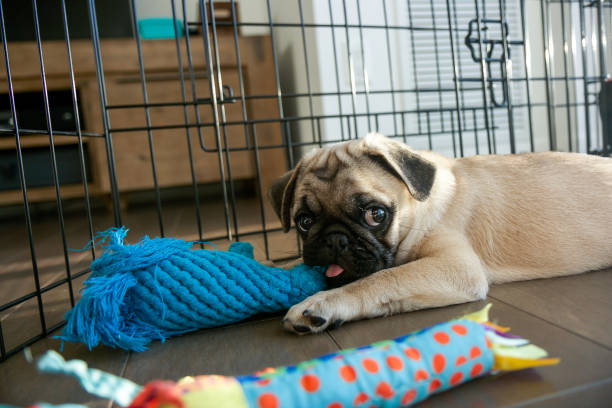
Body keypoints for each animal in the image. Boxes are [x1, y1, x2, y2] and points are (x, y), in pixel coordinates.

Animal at [272, 132, 612, 334]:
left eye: (375, 214)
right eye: (304, 221)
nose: (335, 238)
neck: (416, 211)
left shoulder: (456, 266)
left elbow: (381, 279)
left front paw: (323, 303)